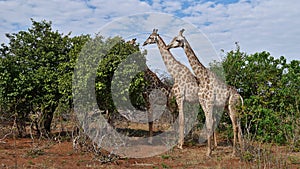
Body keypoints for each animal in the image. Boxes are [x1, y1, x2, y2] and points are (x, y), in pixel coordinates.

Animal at [166, 28, 244, 156]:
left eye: (177, 40)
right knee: (238, 125)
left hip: (232, 106)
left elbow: (209, 125)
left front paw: (209, 152)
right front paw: (210, 150)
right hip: (229, 108)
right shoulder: (203, 103)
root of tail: (239, 96)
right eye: (173, 38)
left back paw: (234, 152)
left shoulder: (209, 102)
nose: (168, 46)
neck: (202, 77)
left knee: (235, 126)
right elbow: (208, 124)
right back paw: (242, 149)